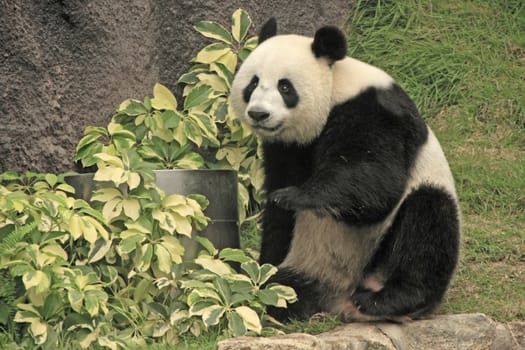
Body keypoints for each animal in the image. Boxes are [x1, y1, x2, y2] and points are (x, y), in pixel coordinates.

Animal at [229, 17, 458, 322]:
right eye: (253, 83)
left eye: (285, 87)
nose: (258, 114)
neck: (335, 86)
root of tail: (341, 300)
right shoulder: (285, 149)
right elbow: (278, 220)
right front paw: (263, 269)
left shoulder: (375, 112)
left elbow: (375, 184)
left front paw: (295, 196)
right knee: (292, 286)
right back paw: (280, 295)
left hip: (396, 237)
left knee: (427, 225)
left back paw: (387, 300)